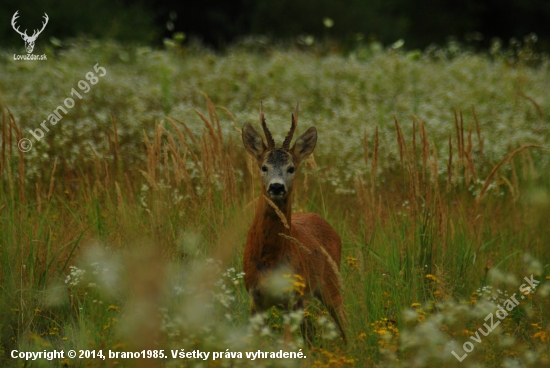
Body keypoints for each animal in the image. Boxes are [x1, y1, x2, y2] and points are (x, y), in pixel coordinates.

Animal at [240, 104, 344, 344]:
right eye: (264, 167)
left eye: (291, 168)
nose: (277, 187)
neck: (269, 260)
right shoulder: (255, 298)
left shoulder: (292, 297)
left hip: (330, 285)